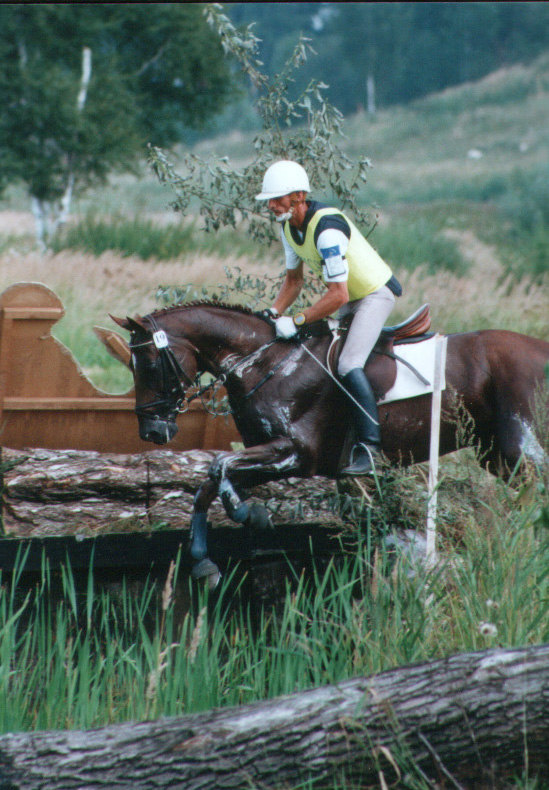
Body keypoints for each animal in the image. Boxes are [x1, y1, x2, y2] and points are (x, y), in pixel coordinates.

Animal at [112, 304, 548, 588]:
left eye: (147, 365)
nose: (151, 431)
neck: (265, 363)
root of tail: (539, 348)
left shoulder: (296, 453)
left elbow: (219, 468)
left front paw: (250, 514)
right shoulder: (269, 456)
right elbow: (210, 483)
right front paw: (205, 559)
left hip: (521, 449)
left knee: (532, 499)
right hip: (496, 456)